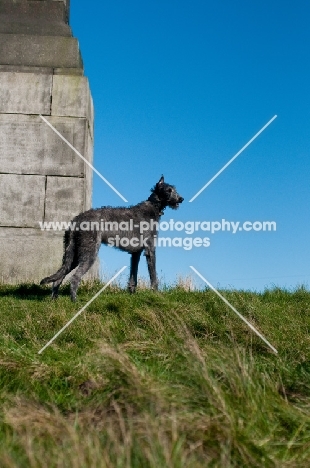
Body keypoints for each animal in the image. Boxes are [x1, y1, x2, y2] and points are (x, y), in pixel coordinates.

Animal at [40, 177, 183, 302]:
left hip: (74, 254)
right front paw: (157, 294)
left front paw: (132, 294)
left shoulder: (135, 253)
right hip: (89, 252)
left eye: (174, 189)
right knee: (75, 278)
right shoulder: (150, 249)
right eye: (168, 190)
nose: (181, 199)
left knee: (60, 276)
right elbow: (153, 274)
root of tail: (76, 220)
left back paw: (54, 300)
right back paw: (75, 301)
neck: (153, 207)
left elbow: (133, 276)